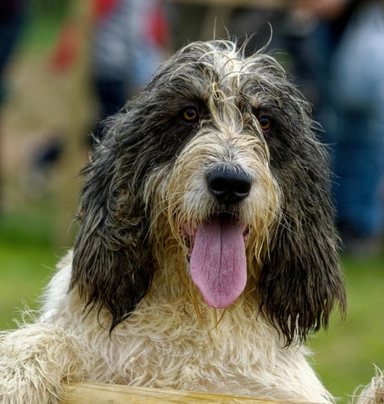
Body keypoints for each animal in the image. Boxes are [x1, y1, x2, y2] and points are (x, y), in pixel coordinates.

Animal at [0, 40, 348, 404]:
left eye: (265, 121)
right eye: (189, 114)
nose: (230, 183)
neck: (200, 311)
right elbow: (48, 338)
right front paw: (15, 379)